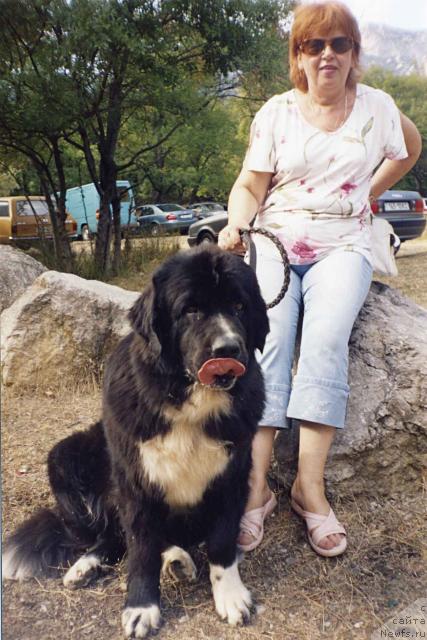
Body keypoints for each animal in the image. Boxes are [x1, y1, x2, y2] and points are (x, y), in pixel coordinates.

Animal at [3, 244, 270, 636]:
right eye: (190, 310)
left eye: (239, 306)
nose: (228, 349)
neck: (186, 400)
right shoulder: (136, 481)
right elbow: (141, 550)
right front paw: (142, 607)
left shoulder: (232, 476)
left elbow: (222, 541)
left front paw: (231, 596)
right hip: (65, 456)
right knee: (113, 536)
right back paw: (88, 566)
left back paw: (176, 560)